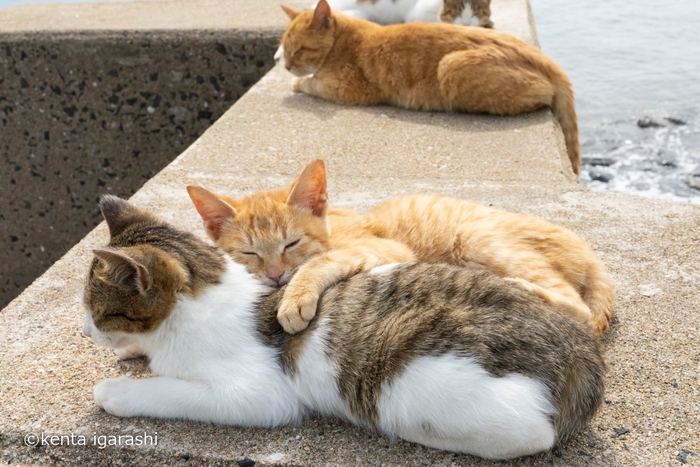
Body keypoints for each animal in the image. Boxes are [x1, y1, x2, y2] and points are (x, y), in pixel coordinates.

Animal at [186, 160, 612, 336]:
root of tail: (591, 254)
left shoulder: (389, 250)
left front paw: (295, 297)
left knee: (575, 303)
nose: (275, 275)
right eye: (248, 253)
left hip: (477, 238)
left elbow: (322, 261)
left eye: (293, 242)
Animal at [278, 0, 580, 175]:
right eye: (285, 47)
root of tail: (539, 55)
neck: (343, 40)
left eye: (299, 50)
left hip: (451, 67)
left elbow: (310, 82)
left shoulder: (349, 89)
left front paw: (297, 81)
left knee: (543, 95)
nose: (286, 66)